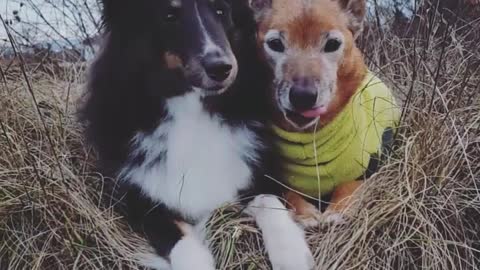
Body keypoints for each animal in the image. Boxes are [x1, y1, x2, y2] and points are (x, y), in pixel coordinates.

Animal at [81, 0, 316, 270]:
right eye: (169, 16)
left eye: (221, 11)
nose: (221, 68)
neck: (192, 110)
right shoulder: (141, 201)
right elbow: (178, 238)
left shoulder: (257, 173)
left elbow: (270, 202)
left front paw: (291, 254)